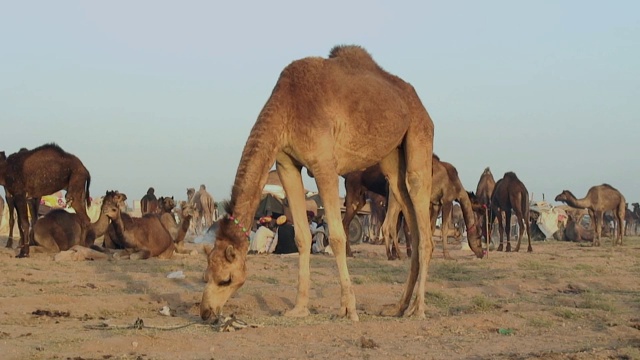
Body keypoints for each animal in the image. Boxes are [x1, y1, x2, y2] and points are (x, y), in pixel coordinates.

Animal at [202, 43, 438, 322]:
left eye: (226, 279)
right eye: (205, 276)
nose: (206, 311)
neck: (287, 107)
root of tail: (419, 104)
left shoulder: (324, 164)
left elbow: (336, 236)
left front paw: (349, 309)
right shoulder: (287, 164)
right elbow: (302, 237)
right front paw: (299, 308)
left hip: (419, 135)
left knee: (421, 214)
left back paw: (419, 309)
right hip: (392, 157)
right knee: (406, 205)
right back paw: (399, 307)